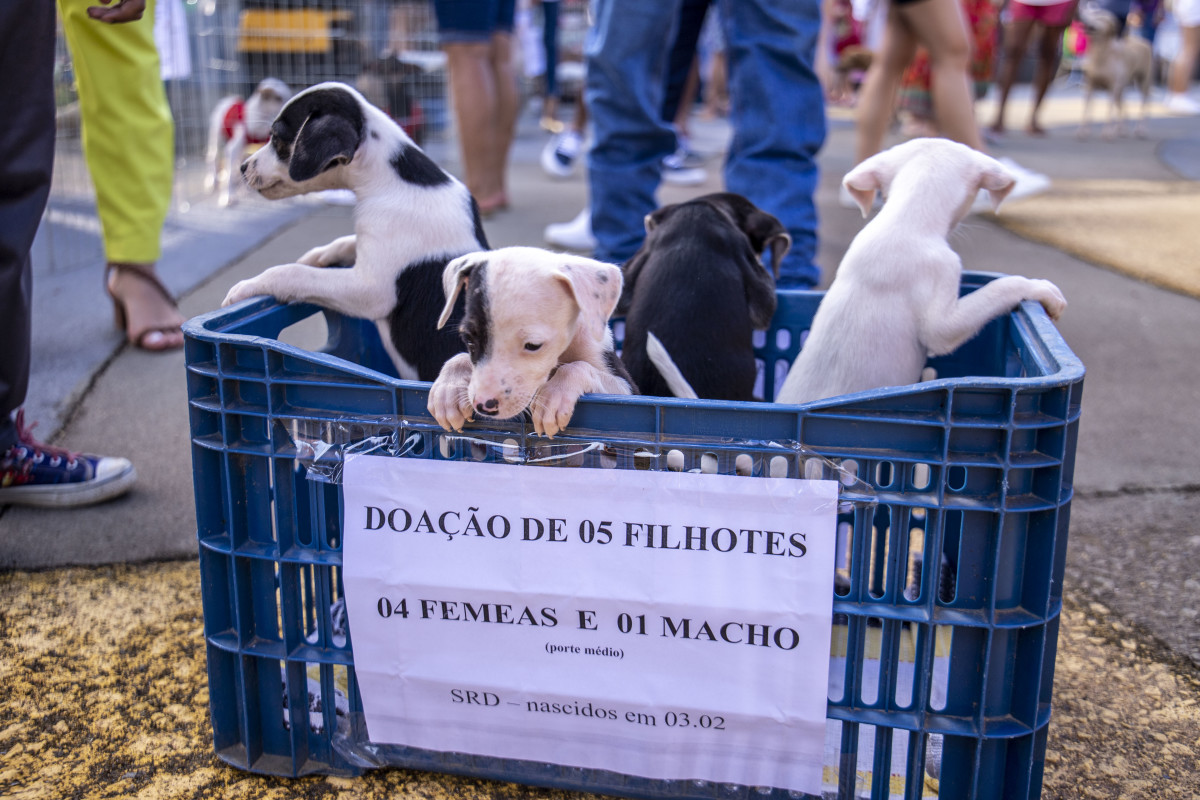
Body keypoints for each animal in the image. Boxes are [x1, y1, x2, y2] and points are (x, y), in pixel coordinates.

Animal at [205, 77, 291, 206]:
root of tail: (228, 99)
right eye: (278, 98)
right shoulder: (233, 149)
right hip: (216, 136)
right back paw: (212, 180)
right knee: (213, 157)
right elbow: (230, 175)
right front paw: (228, 196)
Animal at [223, 82, 489, 383]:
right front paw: (316, 256)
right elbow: (344, 242)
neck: (391, 180)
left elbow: (293, 273)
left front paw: (246, 287)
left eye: (277, 138)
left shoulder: (370, 289)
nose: (242, 167)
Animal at [429, 248, 638, 441]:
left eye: (533, 345)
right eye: (469, 340)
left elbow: (577, 366)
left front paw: (554, 395)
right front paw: (448, 390)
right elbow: (460, 358)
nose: (484, 406)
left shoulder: (627, 390)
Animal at [1080, 3, 1152, 138]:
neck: (1101, 54)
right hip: (1122, 87)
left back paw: (1140, 129)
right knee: (1123, 106)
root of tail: (1142, 40)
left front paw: (1107, 132)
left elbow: (1109, 110)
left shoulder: (1112, 88)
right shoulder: (1090, 86)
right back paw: (1121, 129)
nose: (1083, 16)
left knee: (1144, 103)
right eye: (1092, 13)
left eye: (1100, 16)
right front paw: (1083, 132)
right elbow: (1087, 109)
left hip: (1143, 81)